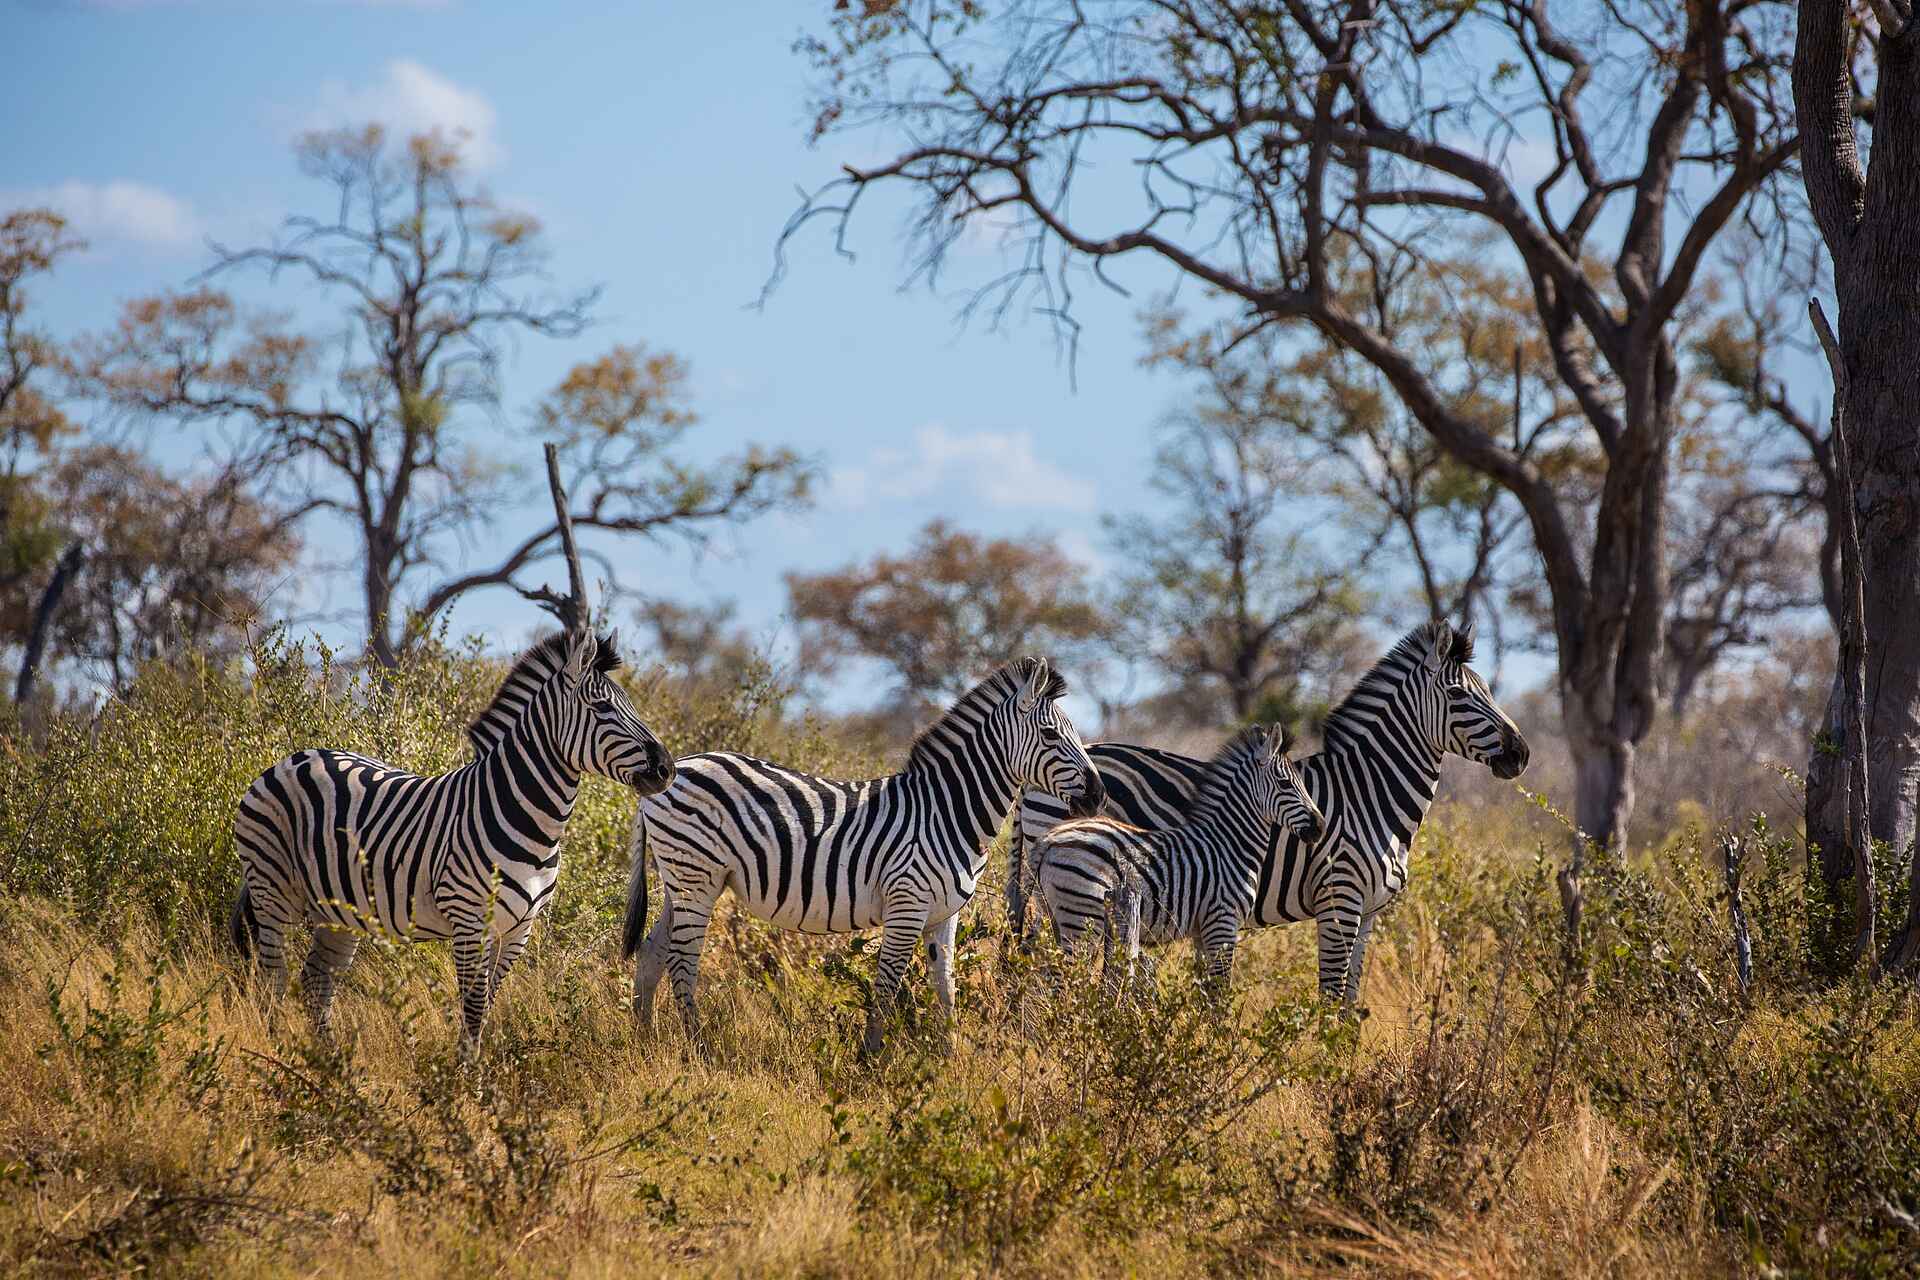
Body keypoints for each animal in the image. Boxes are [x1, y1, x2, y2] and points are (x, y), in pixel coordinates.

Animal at [229, 630, 675, 1053]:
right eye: (602, 708)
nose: (666, 769)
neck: (528, 818)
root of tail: (292, 759)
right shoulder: (469, 918)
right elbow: (473, 1009)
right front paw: (468, 1079)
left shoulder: (520, 927)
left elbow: (488, 1003)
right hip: (271, 890)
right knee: (273, 980)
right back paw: (284, 1055)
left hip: (337, 910)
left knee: (316, 982)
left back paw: (334, 1064)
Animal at [621, 656, 1104, 1055]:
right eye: (1050, 734)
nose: (1098, 795)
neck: (946, 810)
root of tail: (673, 771)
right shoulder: (907, 903)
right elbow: (887, 983)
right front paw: (870, 1059)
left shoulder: (944, 915)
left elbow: (945, 987)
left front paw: (952, 1059)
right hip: (696, 877)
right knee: (682, 961)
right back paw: (699, 1048)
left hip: (683, 882)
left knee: (651, 955)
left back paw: (645, 1043)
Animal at [1027, 723, 1326, 989]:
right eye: (1286, 783)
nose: (1320, 827)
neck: (1230, 842)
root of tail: (1049, 841)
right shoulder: (1223, 920)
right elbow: (1219, 992)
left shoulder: (1203, 929)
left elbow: (1204, 991)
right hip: (1082, 915)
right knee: (1064, 980)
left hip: (1056, 913)